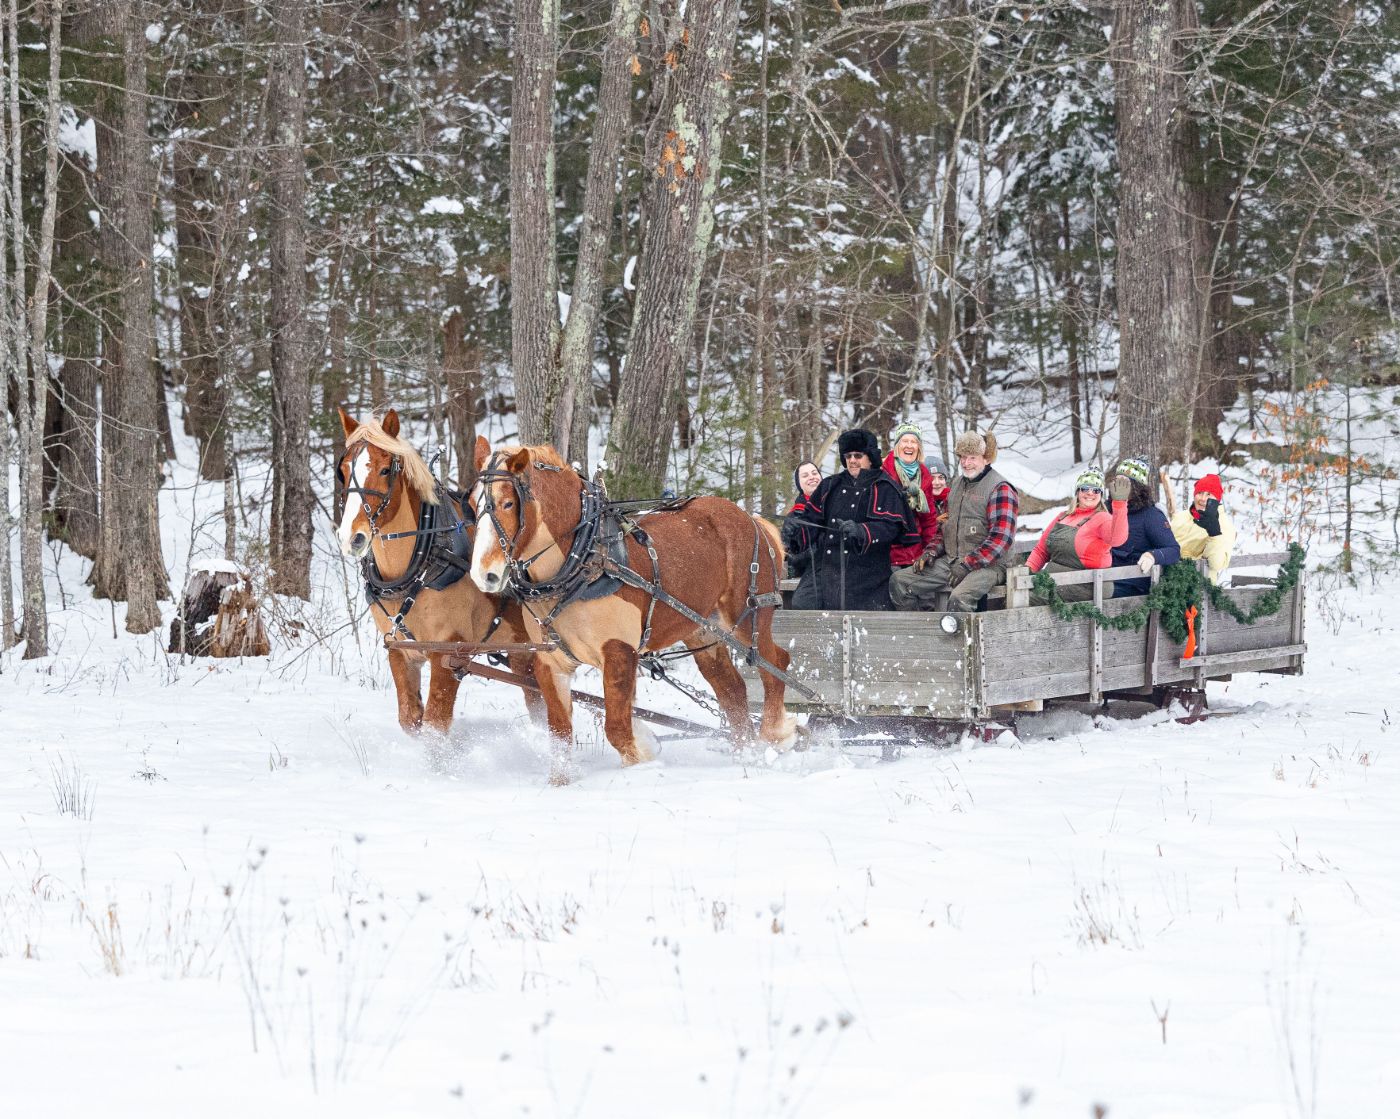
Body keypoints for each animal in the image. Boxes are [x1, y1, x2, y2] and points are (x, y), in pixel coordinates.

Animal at [335, 408, 541, 736]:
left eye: (385, 470)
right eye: (342, 471)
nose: (350, 538)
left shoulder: (449, 653)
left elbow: (435, 724)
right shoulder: (401, 650)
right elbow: (410, 718)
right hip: (522, 649)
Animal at [467, 440, 797, 771]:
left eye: (508, 503)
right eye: (472, 504)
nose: (484, 574)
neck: (586, 558)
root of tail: (754, 520)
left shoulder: (619, 653)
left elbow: (618, 730)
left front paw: (642, 760)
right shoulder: (552, 663)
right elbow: (560, 736)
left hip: (748, 616)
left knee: (775, 663)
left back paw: (773, 736)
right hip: (704, 630)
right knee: (731, 688)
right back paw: (746, 752)